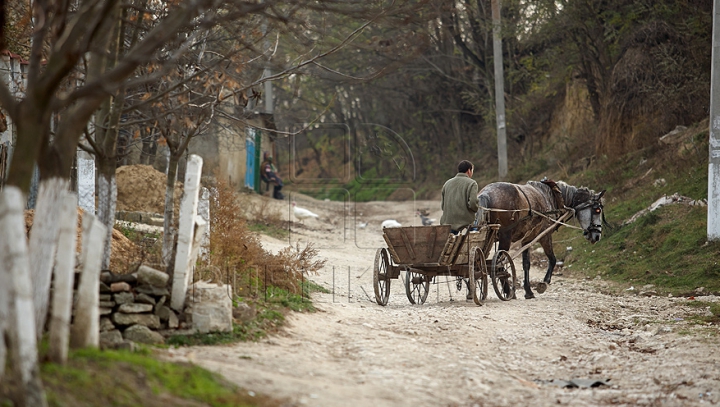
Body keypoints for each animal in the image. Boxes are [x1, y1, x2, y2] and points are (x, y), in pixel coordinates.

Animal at [478, 179, 608, 300]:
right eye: (597, 210)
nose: (597, 236)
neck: (552, 197)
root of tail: (486, 193)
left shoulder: (527, 239)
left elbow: (526, 264)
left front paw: (528, 291)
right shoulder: (545, 236)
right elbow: (552, 259)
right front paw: (543, 283)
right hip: (505, 237)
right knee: (498, 264)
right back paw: (508, 291)